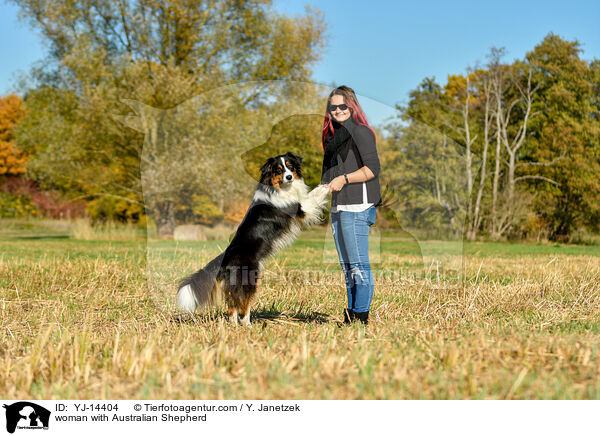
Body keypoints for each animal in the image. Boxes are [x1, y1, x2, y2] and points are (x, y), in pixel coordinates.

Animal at [176, 153, 328, 328]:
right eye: (278, 170)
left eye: (290, 166)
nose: (289, 177)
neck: (278, 188)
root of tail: (224, 259)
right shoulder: (300, 208)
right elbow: (312, 198)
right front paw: (325, 187)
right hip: (249, 281)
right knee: (243, 306)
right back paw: (248, 326)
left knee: (232, 308)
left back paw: (235, 326)